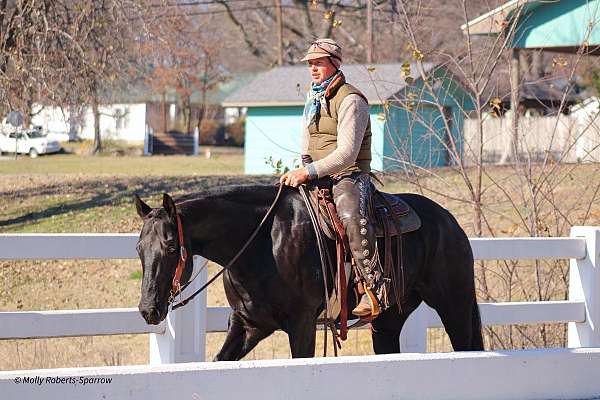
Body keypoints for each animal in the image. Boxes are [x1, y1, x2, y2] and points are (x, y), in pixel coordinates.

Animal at [135, 184, 482, 360]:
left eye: (170, 246)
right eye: (139, 248)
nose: (149, 309)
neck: (262, 242)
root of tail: (450, 221)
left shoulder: (301, 323)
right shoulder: (249, 325)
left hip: (455, 306)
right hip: (387, 321)